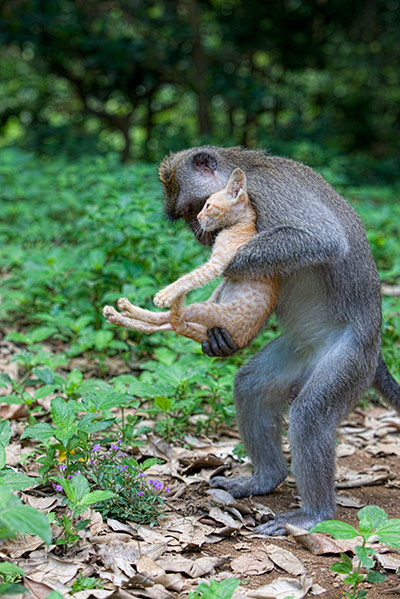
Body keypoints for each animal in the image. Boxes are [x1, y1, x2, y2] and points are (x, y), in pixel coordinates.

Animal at [159, 145, 400, 536]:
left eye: (195, 209)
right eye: (186, 216)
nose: (199, 234)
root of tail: (375, 345)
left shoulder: (271, 193)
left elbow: (322, 239)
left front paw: (226, 262)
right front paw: (218, 338)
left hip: (350, 359)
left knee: (310, 415)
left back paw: (314, 513)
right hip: (301, 349)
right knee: (251, 387)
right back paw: (264, 479)